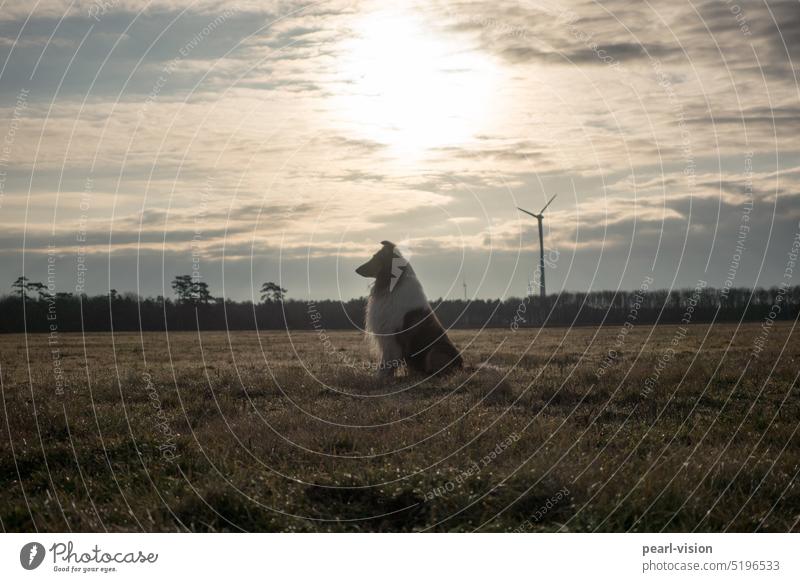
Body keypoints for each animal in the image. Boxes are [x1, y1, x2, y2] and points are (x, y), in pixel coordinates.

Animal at [356, 241, 462, 378]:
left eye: (375, 257)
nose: (356, 270)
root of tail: (462, 365)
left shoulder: (391, 335)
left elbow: (386, 360)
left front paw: (381, 377)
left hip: (435, 350)